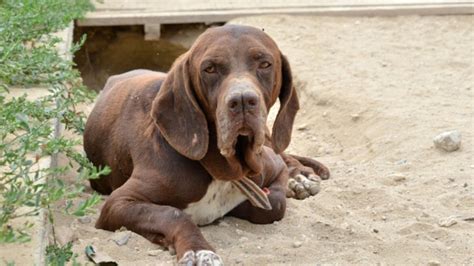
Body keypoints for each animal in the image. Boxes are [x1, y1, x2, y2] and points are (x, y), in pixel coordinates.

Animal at [84, 24, 330, 264]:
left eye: (265, 64)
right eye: (210, 68)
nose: (242, 100)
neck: (223, 167)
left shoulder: (272, 169)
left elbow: (274, 205)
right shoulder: (119, 202)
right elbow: (173, 214)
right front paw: (197, 250)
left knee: (284, 154)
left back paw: (300, 176)